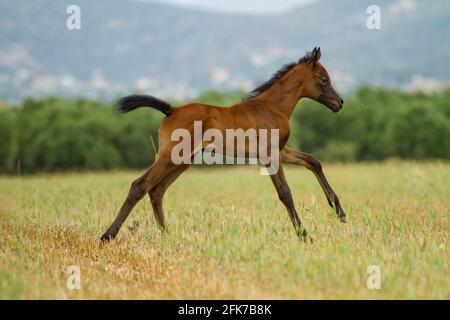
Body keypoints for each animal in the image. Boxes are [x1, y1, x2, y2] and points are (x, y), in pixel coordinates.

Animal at [102, 47, 346, 242]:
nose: (340, 103)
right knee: (140, 185)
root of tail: (171, 109)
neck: (273, 106)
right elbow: (285, 193)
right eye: (323, 79)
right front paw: (305, 236)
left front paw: (339, 211)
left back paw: (168, 236)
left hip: (181, 160)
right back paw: (108, 235)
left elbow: (313, 161)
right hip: (169, 156)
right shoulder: (269, 154)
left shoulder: (279, 150)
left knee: (157, 190)